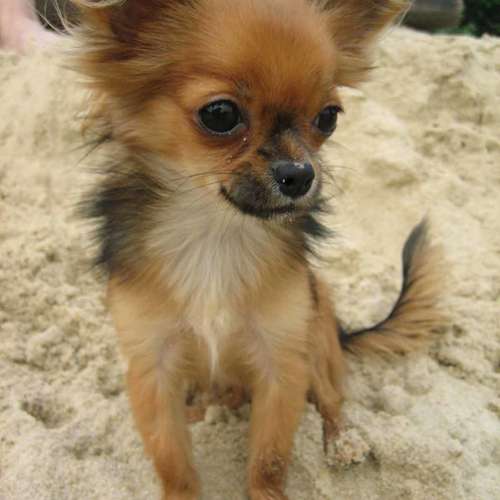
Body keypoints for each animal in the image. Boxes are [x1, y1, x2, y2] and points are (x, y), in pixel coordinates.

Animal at [72, 1, 443, 498]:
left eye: (328, 117)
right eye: (220, 114)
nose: (301, 175)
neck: (215, 232)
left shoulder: (282, 362)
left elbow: (269, 457)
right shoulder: (153, 366)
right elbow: (172, 459)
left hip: (318, 327)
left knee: (331, 396)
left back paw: (341, 439)